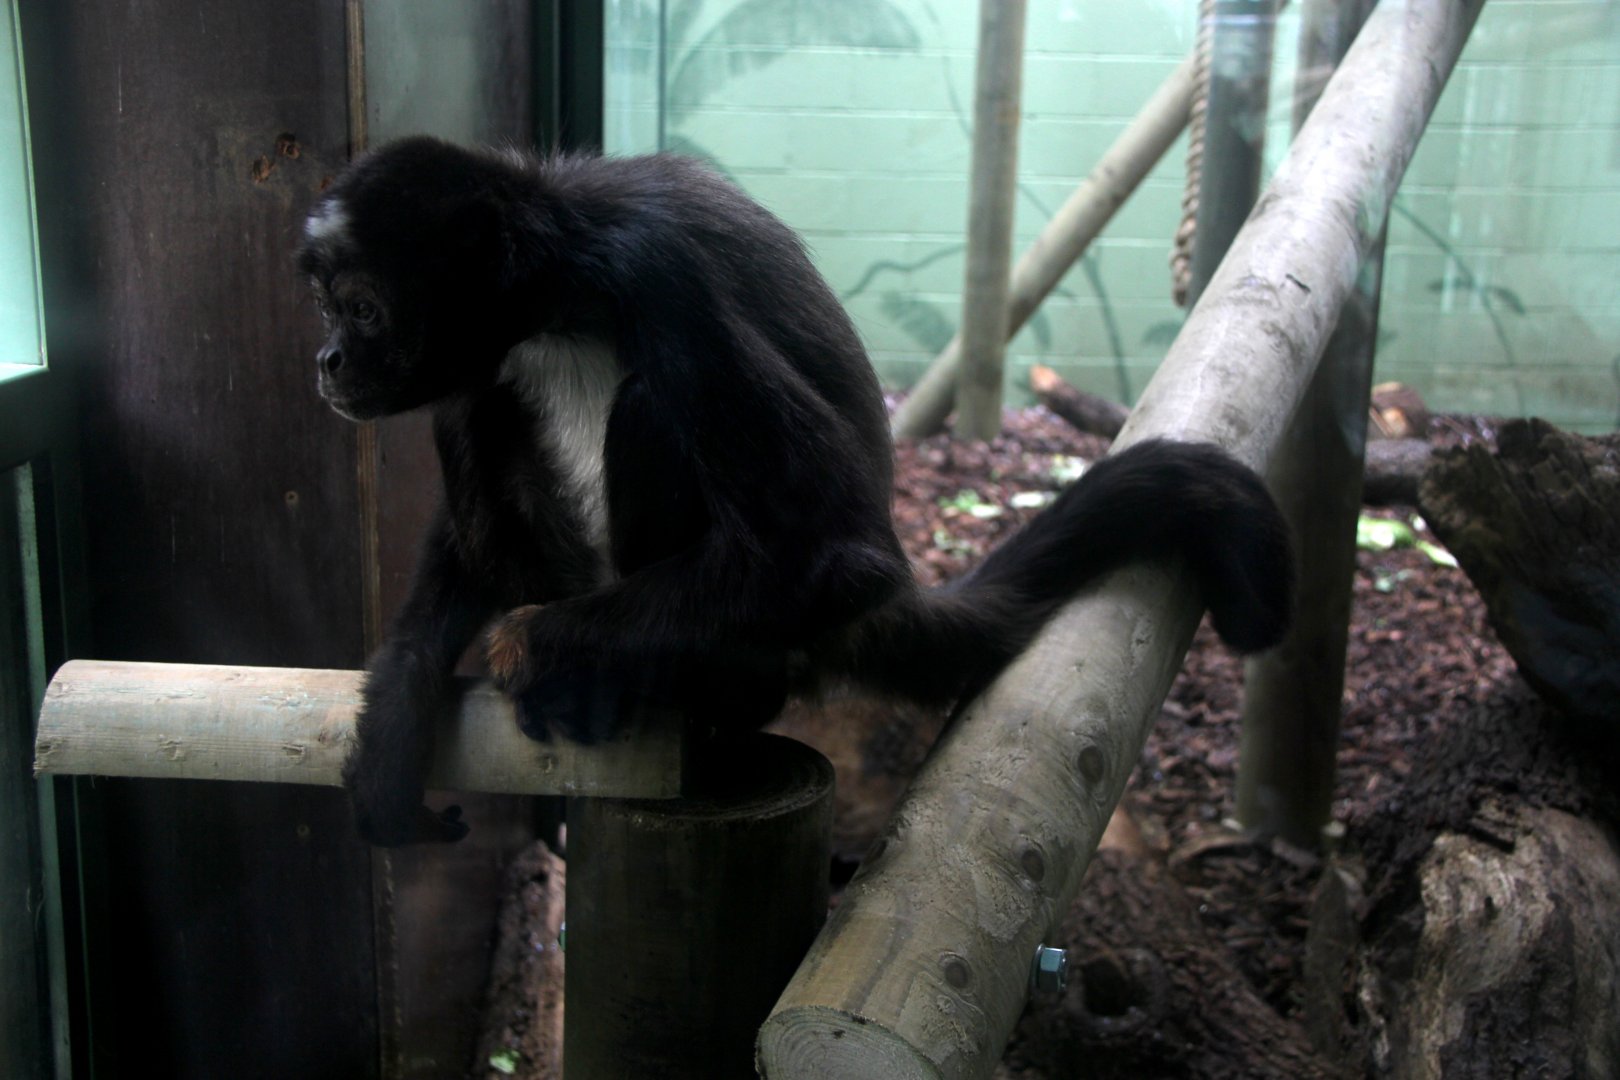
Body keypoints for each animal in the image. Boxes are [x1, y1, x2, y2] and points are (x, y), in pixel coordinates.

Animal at [297, 136, 1292, 846]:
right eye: (329, 309)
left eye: (364, 308)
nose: (328, 359)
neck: (559, 283)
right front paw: (396, 718)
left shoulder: (653, 266)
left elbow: (841, 553)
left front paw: (531, 644)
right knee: (478, 408)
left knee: (653, 409)